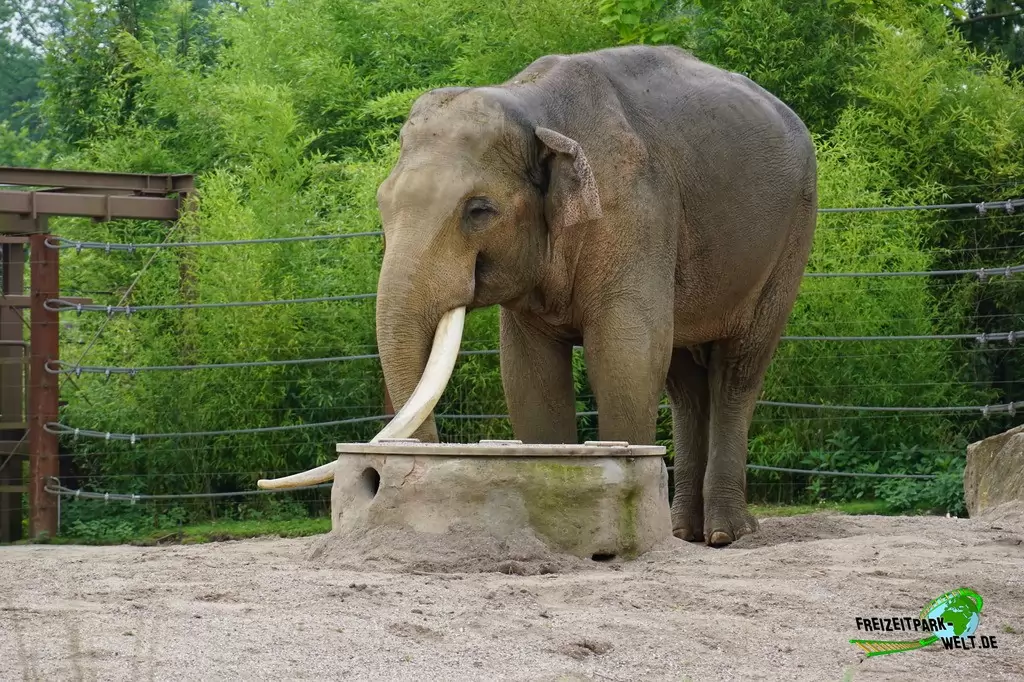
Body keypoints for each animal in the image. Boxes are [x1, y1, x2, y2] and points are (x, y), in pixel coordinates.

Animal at [258, 44, 817, 547]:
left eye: (479, 210)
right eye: (381, 204)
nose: (379, 482)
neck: (533, 106)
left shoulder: (635, 213)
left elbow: (626, 356)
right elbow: (528, 371)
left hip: (792, 234)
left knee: (738, 370)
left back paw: (725, 535)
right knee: (683, 379)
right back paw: (685, 533)